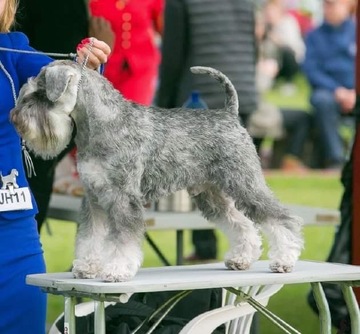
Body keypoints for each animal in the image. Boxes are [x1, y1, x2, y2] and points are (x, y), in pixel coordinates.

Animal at [11, 60, 302, 282]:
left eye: (40, 94)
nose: (16, 117)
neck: (103, 123)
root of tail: (229, 114)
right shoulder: (93, 198)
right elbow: (90, 236)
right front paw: (86, 267)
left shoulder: (123, 198)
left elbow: (122, 240)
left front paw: (116, 270)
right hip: (211, 195)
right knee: (241, 222)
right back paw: (241, 258)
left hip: (244, 182)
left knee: (281, 218)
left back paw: (284, 259)